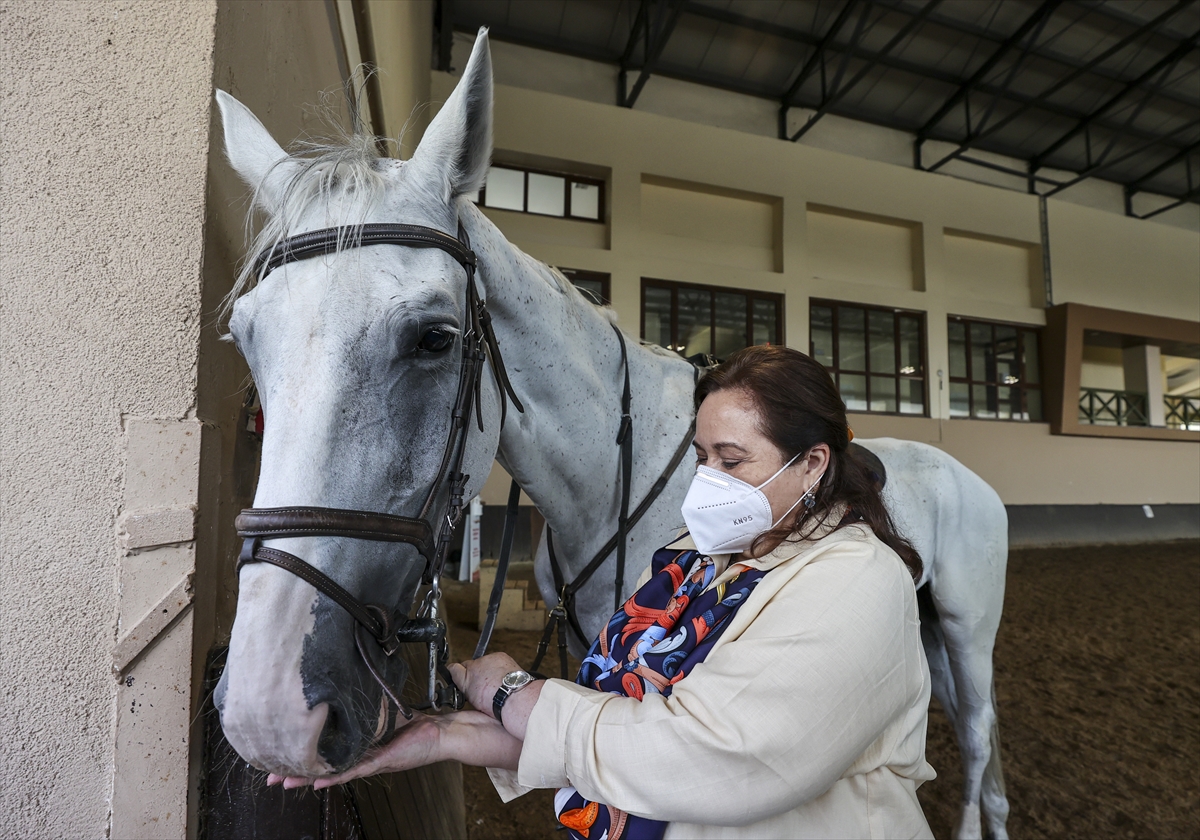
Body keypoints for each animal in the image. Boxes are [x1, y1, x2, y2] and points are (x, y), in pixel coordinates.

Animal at [218, 32, 1012, 840]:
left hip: (967, 628)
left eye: (434, 338)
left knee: (979, 734)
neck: (606, 491)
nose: (269, 713)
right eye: (244, 338)